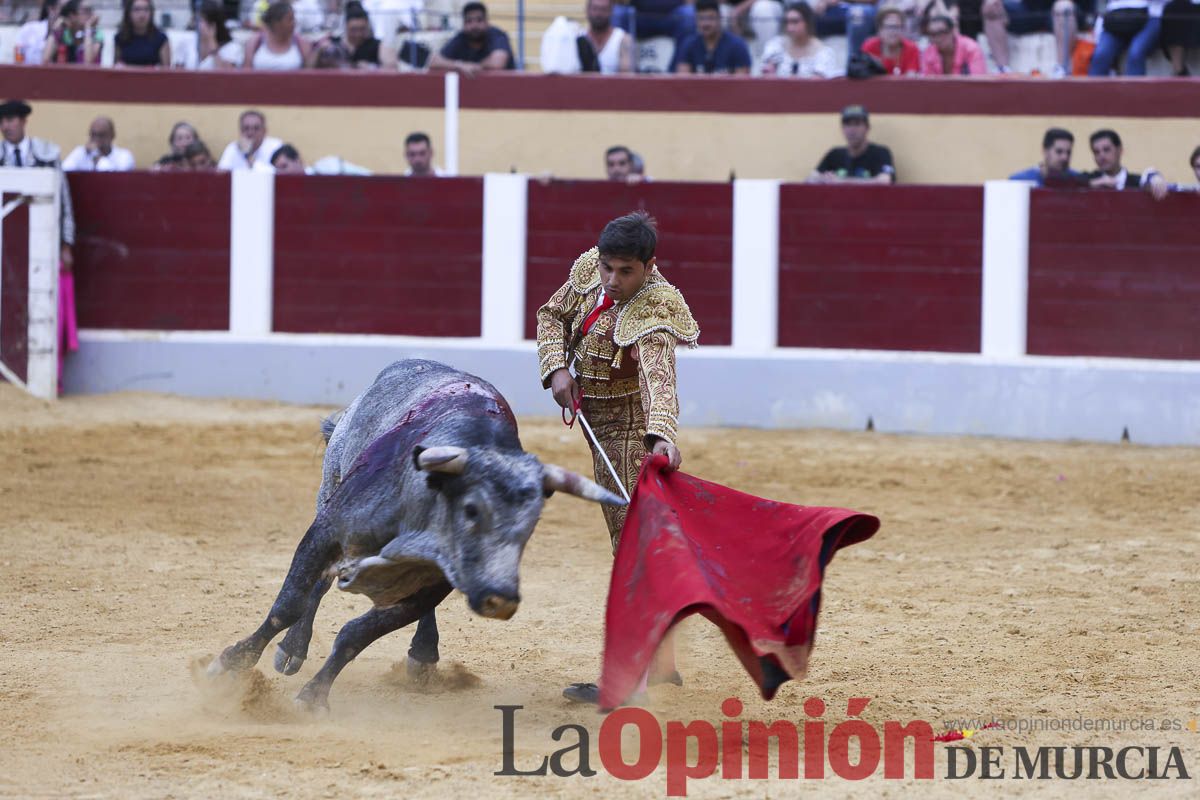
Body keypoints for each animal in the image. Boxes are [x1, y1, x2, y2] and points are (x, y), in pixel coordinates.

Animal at [206, 359, 619, 710]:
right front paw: (230, 666)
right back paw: (293, 649)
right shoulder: (327, 531)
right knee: (316, 587)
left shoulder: (430, 585)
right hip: (328, 488)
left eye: (531, 523)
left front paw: (313, 698)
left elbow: (357, 635)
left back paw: (423, 656)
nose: (499, 599)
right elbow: (289, 603)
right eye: (471, 509)